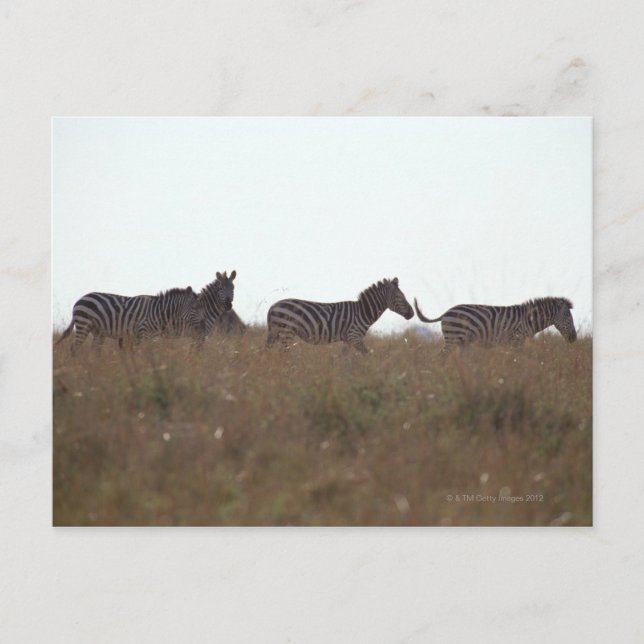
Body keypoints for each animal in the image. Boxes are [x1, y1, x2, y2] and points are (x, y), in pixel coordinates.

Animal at [56, 270, 237, 353]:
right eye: (221, 288)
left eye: (233, 288)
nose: (229, 305)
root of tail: (80, 299)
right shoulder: (197, 336)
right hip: (84, 324)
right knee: (74, 348)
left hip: (98, 331)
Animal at [266, 277, 414, 354]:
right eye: (399, 297)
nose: (412, 313)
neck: (363, 311)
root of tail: (272, 306)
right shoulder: (355, 337)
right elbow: (367, 355)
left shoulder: (347, 340)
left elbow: (344, 360)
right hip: (287, 331)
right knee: (284, 354)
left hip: (277, 333)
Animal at [413, 296, 577, 355]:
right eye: (569, 318)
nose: (574, 338)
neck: (528, 319)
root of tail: (446, 313)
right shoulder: (517, 338)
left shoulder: (515, 341)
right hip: (453, 337)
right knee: (441, 356)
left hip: (462, 341)